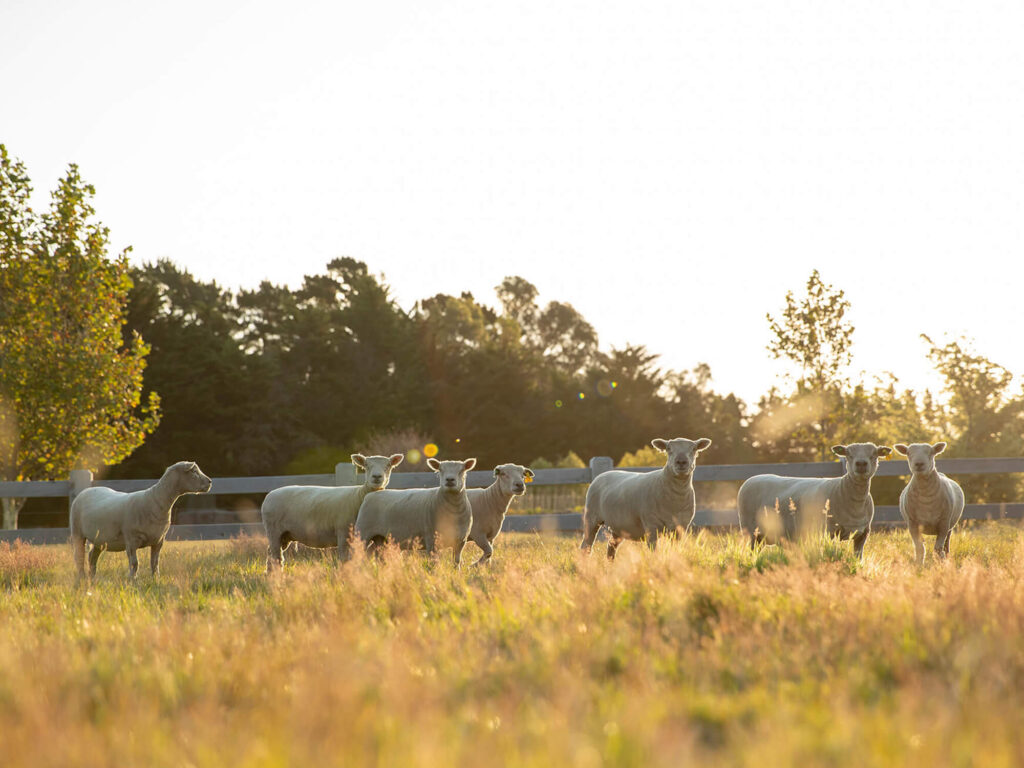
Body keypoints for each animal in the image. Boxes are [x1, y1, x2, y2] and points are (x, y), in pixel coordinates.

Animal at [70, 461, 212, 579]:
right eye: (193, 471)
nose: (210, 482)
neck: (155, 501)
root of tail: (86, 490)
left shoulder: (159, 540)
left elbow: (155, 563)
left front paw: (156, 580)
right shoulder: (131, 540)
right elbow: (135, 564)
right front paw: (133, 581)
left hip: (100, 539)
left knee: (92, 557)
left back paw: (92, 578)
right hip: (77, 532)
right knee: (79, 557)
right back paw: (82, 578)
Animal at [261, 453, 404, 571]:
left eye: (388, 466)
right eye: (366, 466)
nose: (377, 477)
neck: (359, 495)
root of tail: (270, 494)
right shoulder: (343, 534)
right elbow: (345, 560)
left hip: (285, 536)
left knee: (271, 556)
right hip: (274, 531)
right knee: (276, 558)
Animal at [580, 437, 712, 559]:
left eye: (694, 449)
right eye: (668, 449)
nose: (681, 461)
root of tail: (602, 474)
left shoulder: (681, 527)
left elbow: (674, 551)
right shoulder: (651, 525)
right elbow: (654, 552)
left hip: (618, 526)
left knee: (611, 547)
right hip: (591, 517)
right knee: (586, 546)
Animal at [736, 443, 893, 558]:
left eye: (874, 454)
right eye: (849, 454)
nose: (861, 464)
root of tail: (752, 478)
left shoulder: (862, 534)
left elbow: (858, 558)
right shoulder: (830, 532)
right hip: (751, 532)